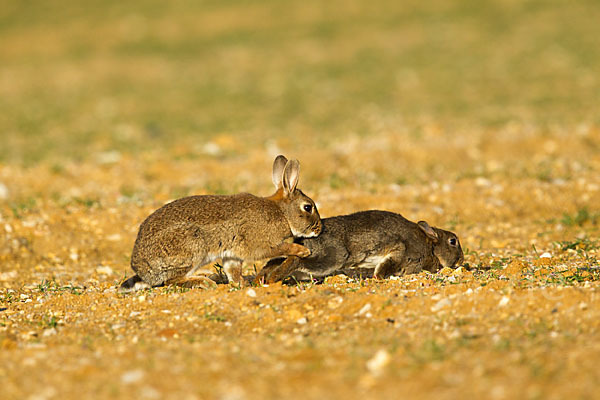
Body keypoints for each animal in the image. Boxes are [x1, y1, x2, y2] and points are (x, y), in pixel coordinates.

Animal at [119, 155, 322, 292]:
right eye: (308, 207)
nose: (319, 229)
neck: (282, 212)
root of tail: (144, 270)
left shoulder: (232, 255)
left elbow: (233, 271)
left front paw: (243, 285)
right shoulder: (261, 245)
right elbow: (281, 249)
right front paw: (303, 250)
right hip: (192, 247)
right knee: (172, 280)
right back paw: (205, 282)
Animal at [256, 211, 464, 282]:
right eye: (453, 241)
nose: (462, 260)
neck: (431, 248)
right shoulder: (401, 251)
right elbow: (387, 263)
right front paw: (379, 278)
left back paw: (260, 280)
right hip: (331, 258)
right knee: (294, 260)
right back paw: (273, 279)